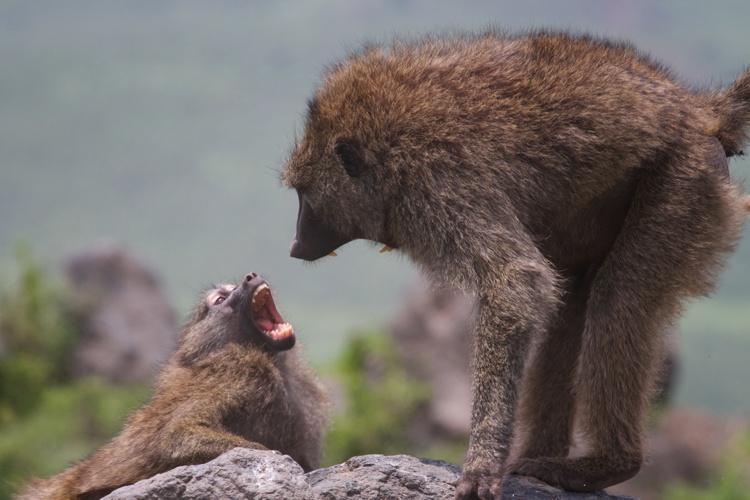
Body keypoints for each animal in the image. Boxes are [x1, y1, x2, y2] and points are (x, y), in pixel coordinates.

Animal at [281, 30, 750, 498]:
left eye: (305, 195)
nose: (294, 245)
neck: (389, 147)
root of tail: (700, 111)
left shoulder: (438, 183)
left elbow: (516, 282)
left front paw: (481, 465)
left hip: (686, 178)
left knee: (619, 299)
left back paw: (608, 464)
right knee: (569, 308)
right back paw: (541, 458)